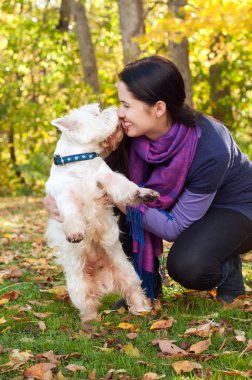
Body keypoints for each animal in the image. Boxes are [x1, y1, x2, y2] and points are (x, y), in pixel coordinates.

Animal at [44, 104, 159, 324]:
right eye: (96, 113)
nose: (117, 110)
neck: (81, 160)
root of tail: (104, 281)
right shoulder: (64, 196)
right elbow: (71, 213)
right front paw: (75, 233)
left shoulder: (107, 176)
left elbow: (125, 185)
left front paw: (143, 194)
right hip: (78, 286)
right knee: (88, 303)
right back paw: (90, 322)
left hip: (127, 271)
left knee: (133, 289)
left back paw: (141, 309)